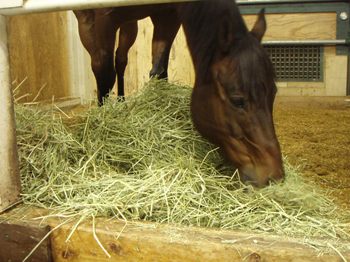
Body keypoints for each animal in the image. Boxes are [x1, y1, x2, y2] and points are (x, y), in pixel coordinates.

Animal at [74, 0, 284, 188]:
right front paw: (100, 128)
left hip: (129, 22)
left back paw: (122, 101)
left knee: (121, 58)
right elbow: (103, 73)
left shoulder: (167, 14)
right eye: (237, 101)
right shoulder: (101, 20)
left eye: (273, 93)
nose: (274, 176)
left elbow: (159, 71)